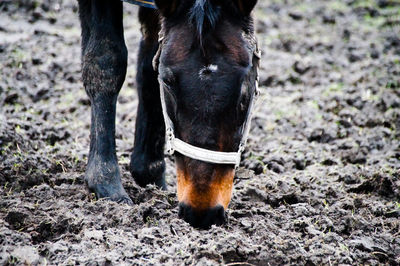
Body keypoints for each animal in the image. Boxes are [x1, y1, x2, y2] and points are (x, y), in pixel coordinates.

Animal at [77, 0, 260, 229]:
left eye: (245, 92)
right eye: (167, 82)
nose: (202, 213)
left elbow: (150, 61)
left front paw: (150, 175)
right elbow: (106, 61)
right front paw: (106, 184)